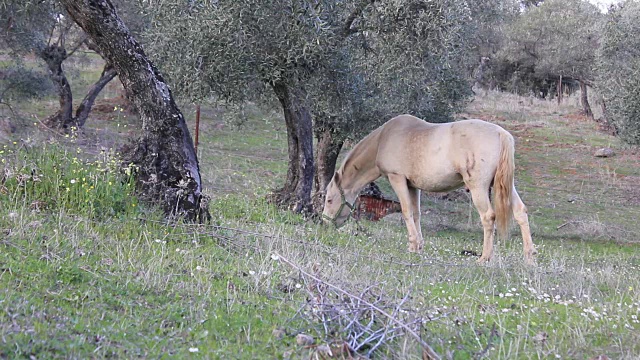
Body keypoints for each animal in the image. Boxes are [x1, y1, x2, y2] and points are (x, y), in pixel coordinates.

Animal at [322, 115, 536, 264]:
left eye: (329, 200)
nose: (324, 222)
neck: (385, 138)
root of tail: (501, 134)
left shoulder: (397, 178)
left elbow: (406, 212)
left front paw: (412, 246)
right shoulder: (412, 186)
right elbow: (416, 214)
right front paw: (418, 246)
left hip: (479, 187)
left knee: (488, 217)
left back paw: (484, 257)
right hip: (505, 185)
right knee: (520, 212)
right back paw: (529, 257)